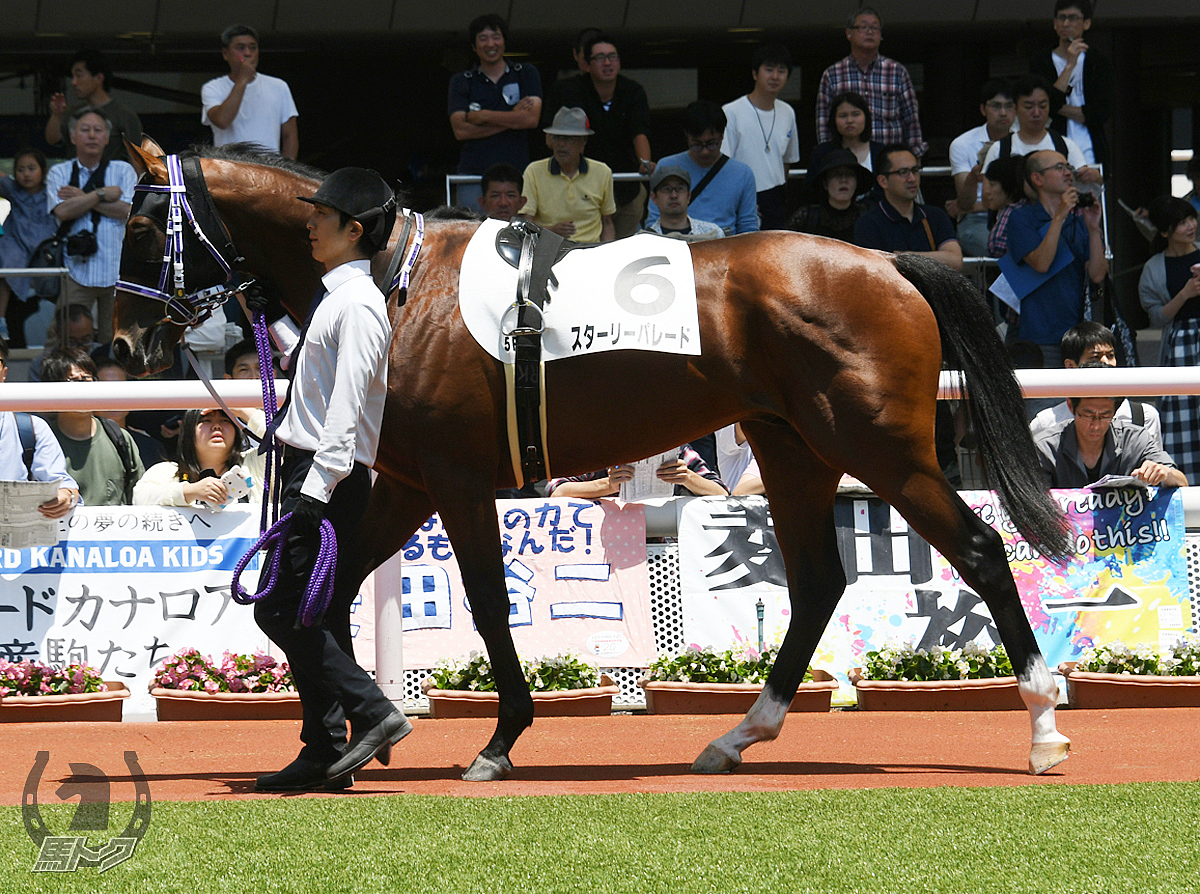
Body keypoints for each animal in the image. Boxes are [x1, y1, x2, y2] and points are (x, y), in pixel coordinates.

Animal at [110, 142, 1070, 777]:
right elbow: (326, 591)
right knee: (817, 584)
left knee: (980, 552)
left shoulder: (456, 480)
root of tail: (889, 262)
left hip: (882, 449)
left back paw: (1043, 728)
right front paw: (345, 737)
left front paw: (497, 741)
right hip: (794, 448)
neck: (399, 282)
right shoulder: (408, 483)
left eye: (145, 223)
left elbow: (488, 604)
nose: (125, 336)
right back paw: (738, 736)